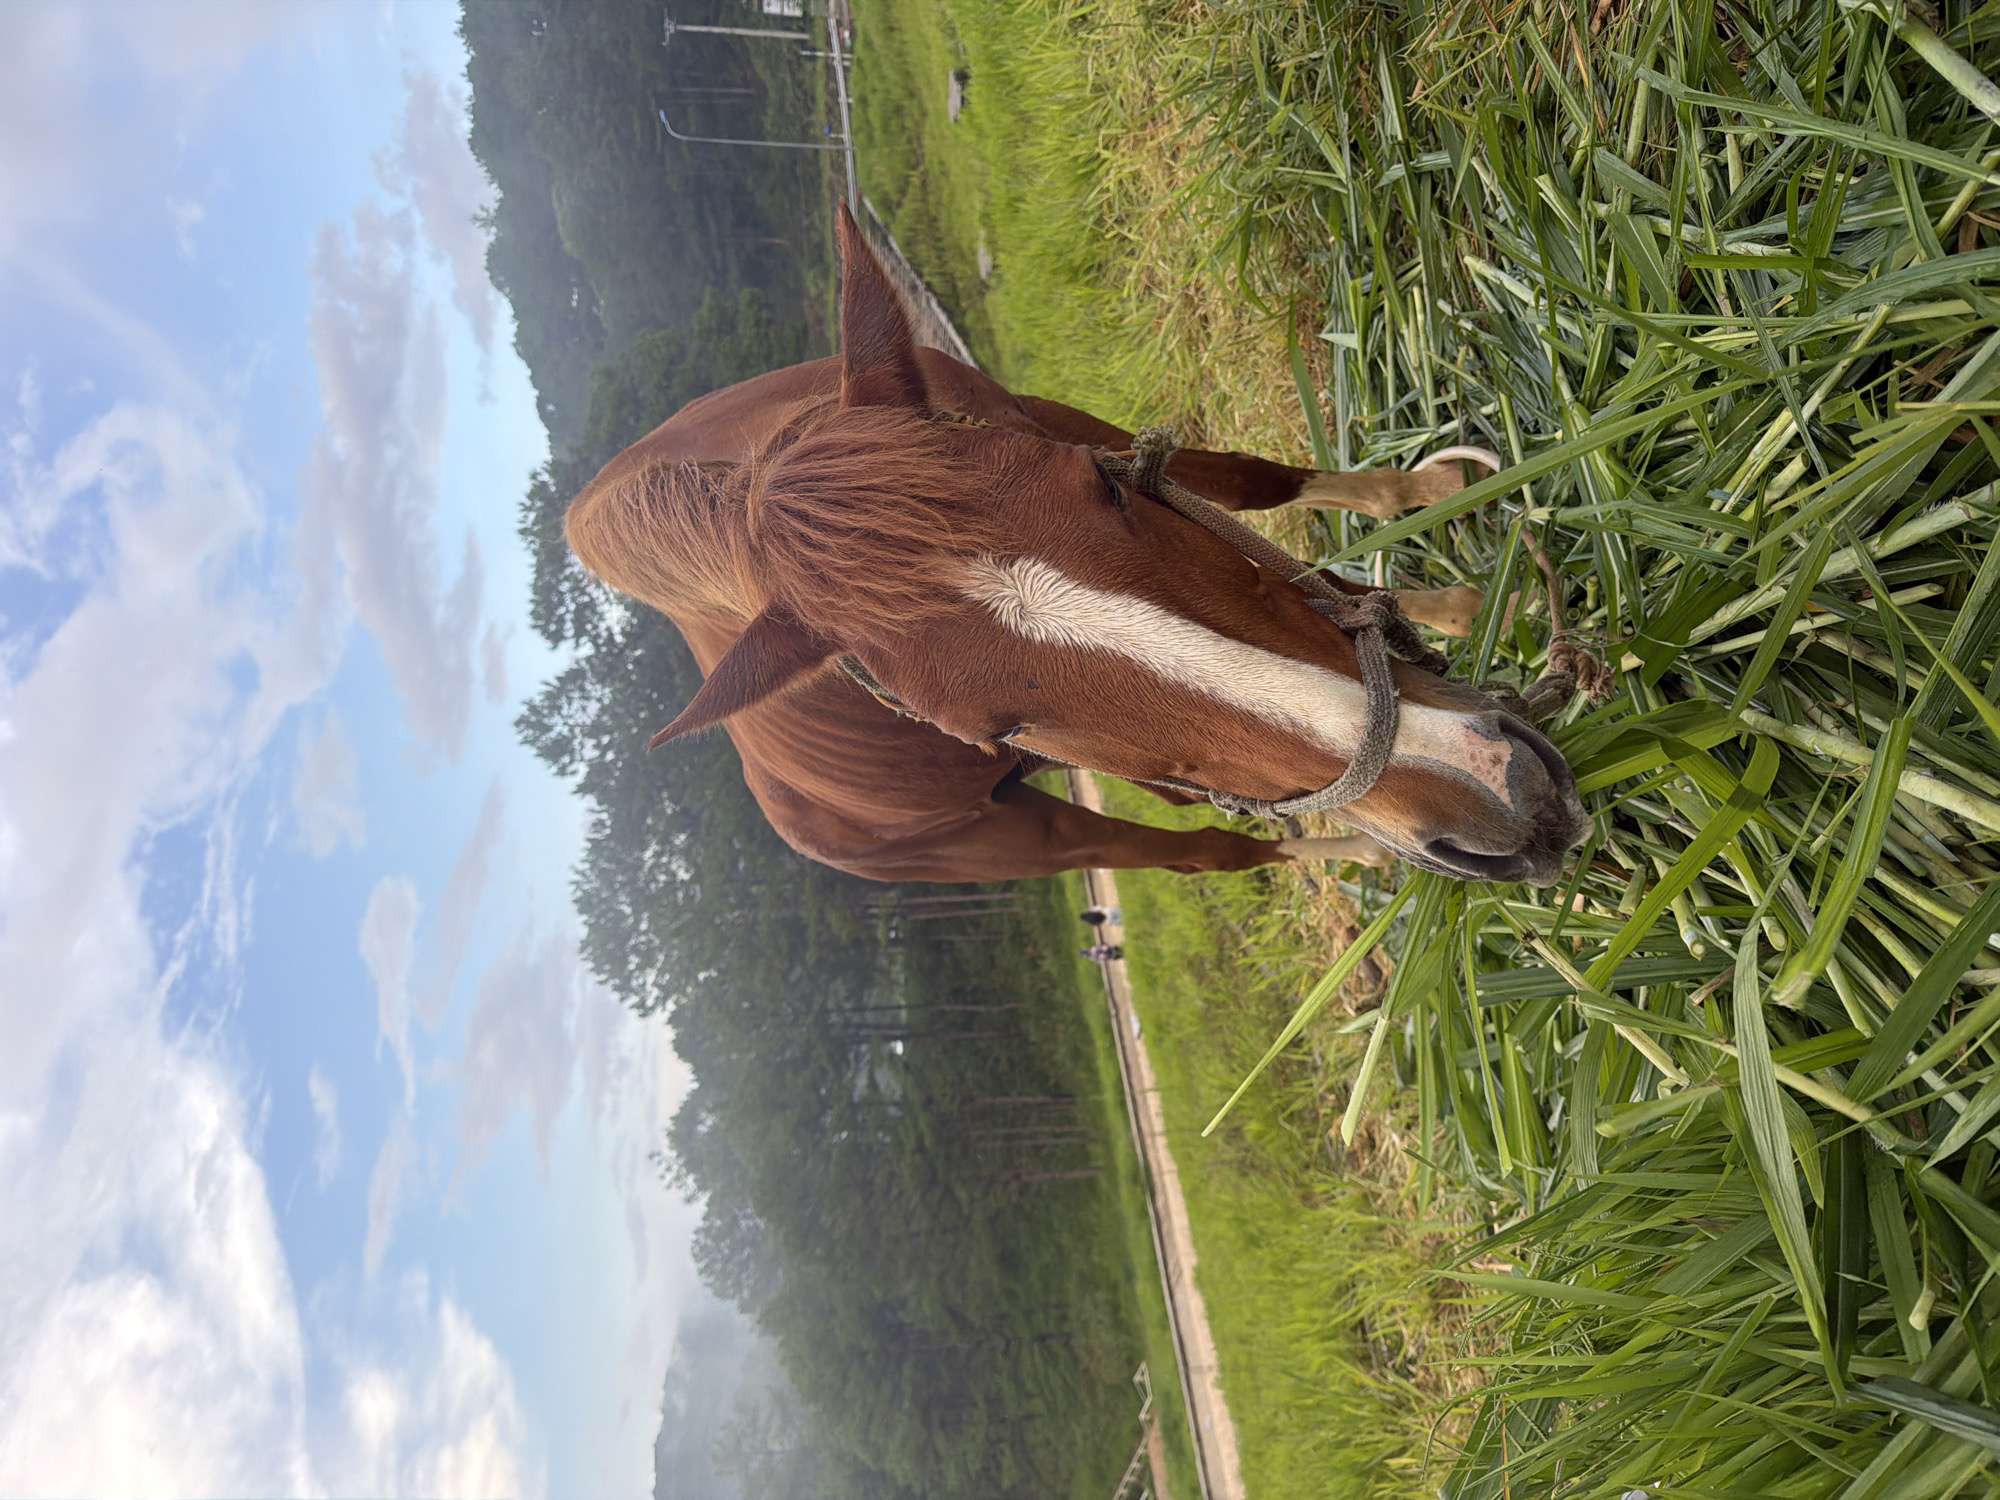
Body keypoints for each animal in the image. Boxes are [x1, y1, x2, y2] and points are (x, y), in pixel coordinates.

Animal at [564, 206, 1590, 886]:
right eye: (997, 731)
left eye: (1105, 487)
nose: (1506, 797)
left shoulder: (1059, 420)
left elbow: (1247, 482)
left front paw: (1440, 528)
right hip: (1032, 844)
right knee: (1203, 850)